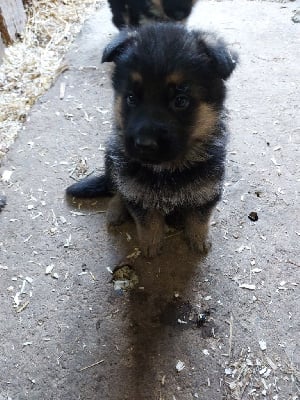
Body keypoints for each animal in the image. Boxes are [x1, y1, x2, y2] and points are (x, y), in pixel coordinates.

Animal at [67, 23, 238, 256]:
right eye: (131, 98)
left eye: (180, 101)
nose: (144, 145)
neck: (168, 169)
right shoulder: (137, 193)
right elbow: (148, 221)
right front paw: (151, 245)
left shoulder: (207, 190)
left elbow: (199, 219)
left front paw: (199, 240)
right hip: (112, 156)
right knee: (116, 188)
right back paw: (116, 210)